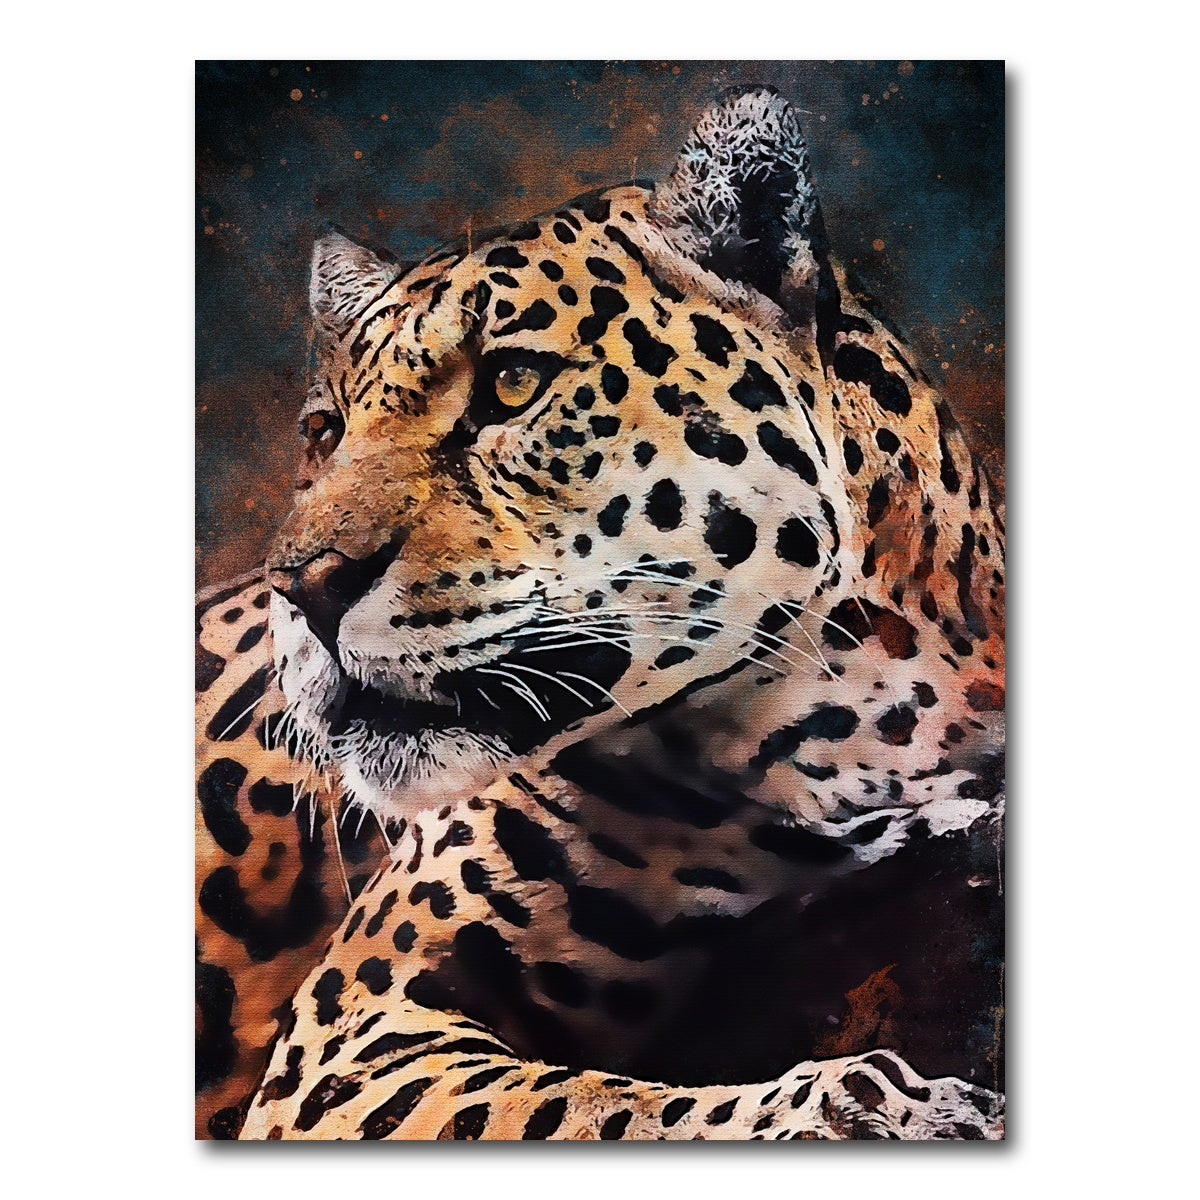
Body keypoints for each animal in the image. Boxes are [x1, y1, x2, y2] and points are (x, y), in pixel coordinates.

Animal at [196, 87, 1005, 1140]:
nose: (303, 586)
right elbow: (591, 1108)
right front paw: (882, 1108)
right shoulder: (357, 1022)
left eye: (512, 383)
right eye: (324, 432)